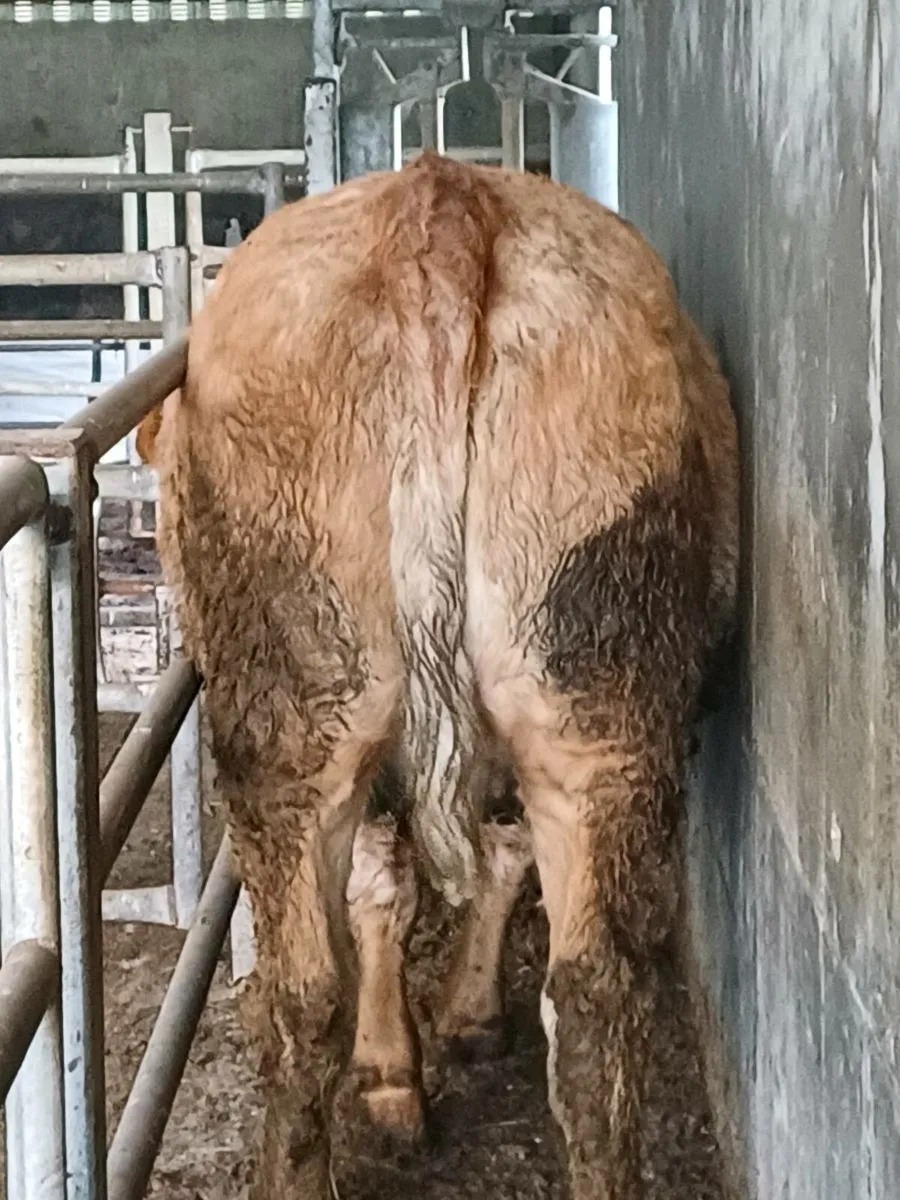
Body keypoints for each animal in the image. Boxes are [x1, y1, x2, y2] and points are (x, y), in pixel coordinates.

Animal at [138, 152, 739, 1200]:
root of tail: (441, 200)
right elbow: (487, 858)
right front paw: (459, 1023)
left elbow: (390, 887)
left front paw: (404, 1069)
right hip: (590, 710)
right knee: (592, 1002)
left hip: (301, 710)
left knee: (303, 999)